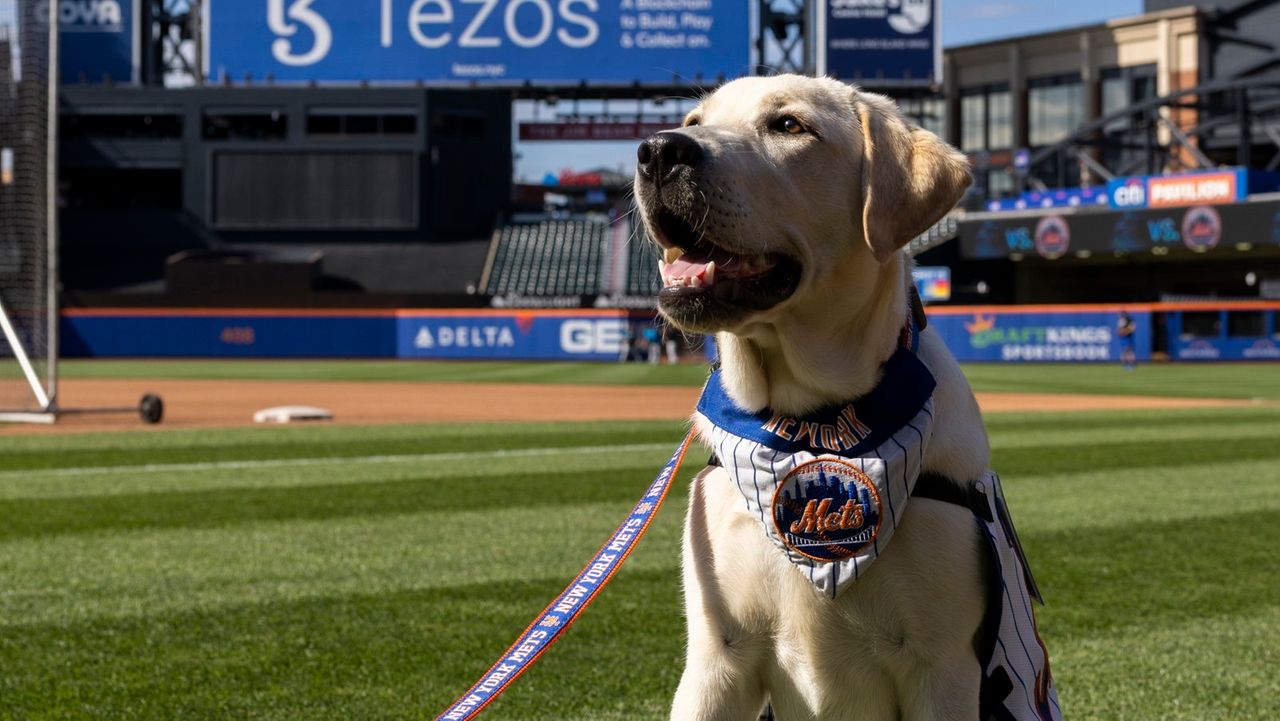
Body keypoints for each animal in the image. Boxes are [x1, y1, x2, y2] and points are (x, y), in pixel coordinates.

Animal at [629, 74, 1059, 721]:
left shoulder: (942, 670)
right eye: (695, 121)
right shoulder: (716, 658)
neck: (810, 421)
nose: (658, 150)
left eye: (789, 125)